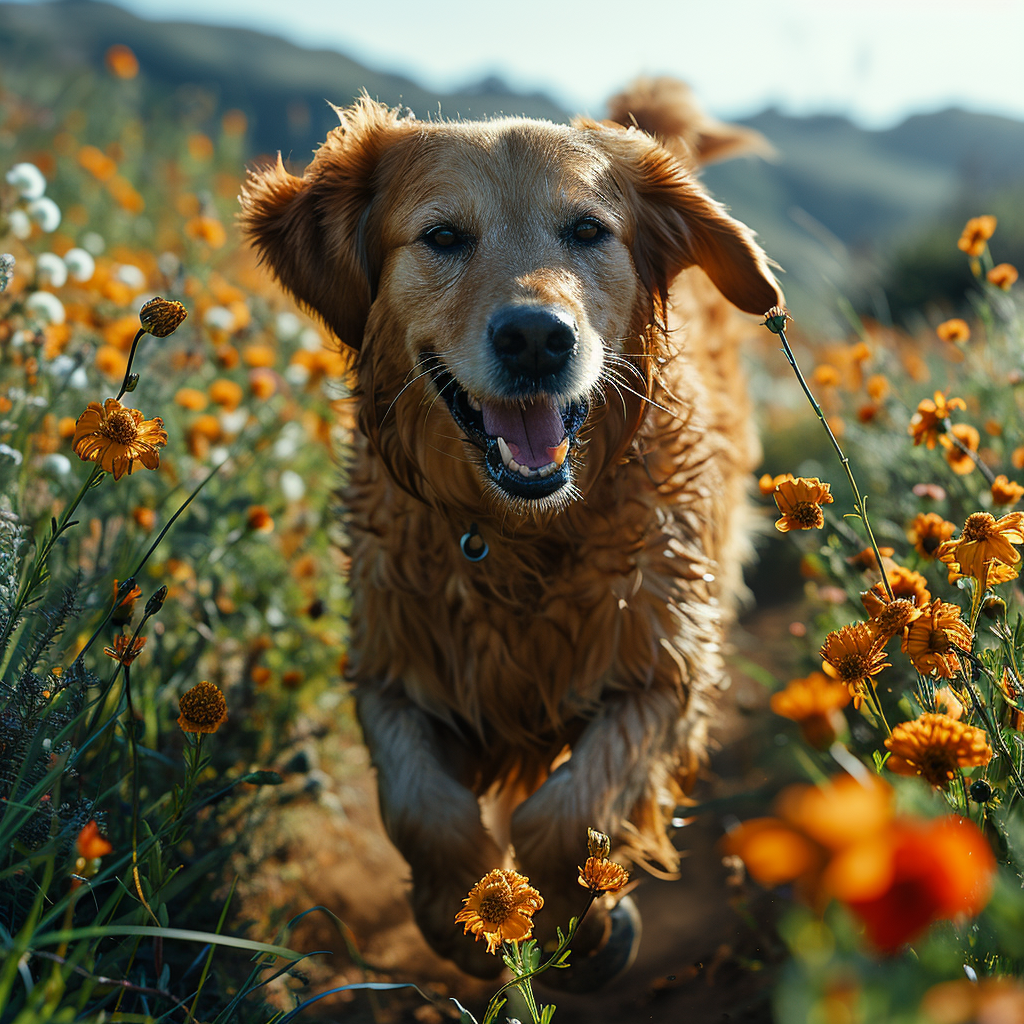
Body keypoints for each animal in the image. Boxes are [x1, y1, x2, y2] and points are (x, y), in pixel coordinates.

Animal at [241, 75, 782, 987]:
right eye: (443, 237)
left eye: (589, 230)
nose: (536, 336)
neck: (519, 534)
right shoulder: (390, 666)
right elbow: (423, 808)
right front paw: (458, 918)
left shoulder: (666, 666)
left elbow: (565, 813)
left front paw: (580, 924)